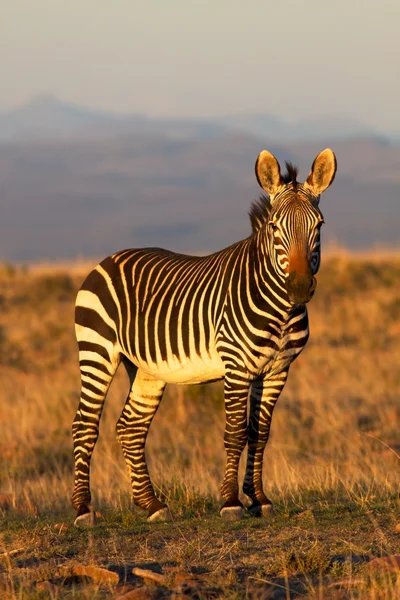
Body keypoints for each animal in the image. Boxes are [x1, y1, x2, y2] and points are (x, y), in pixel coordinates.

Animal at [72, 146, 338, 524]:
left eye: (319, 225)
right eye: (275, 226)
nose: (300, 287)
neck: (281, 309)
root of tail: (106, 260)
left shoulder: (277, 371)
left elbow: (259, 433)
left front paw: (259, 498)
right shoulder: (236, 367)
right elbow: (235, 433)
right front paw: (231, 502)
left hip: (147, 369)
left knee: (130, 428)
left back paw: (151, 504)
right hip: (97, 351)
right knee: (84, 426)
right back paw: (83, 509)